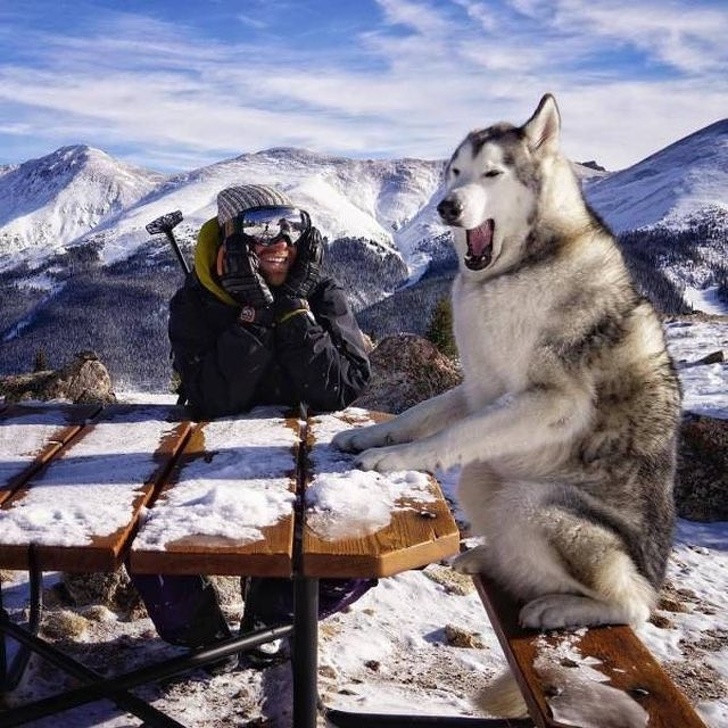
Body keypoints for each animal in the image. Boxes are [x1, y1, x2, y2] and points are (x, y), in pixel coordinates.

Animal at [336, 95, 684, 636]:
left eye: (493, 173)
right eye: (455, 172)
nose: (448, 207)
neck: (518, 268)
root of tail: (654, 575)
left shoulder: (552, 401)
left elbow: (451, 434)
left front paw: (394, 458)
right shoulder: (477, 385)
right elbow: (420, 414)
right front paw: (368, 435)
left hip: (534, 505)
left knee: (632, 605)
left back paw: (559, 607)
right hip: (484, 482)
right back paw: (486, 560)